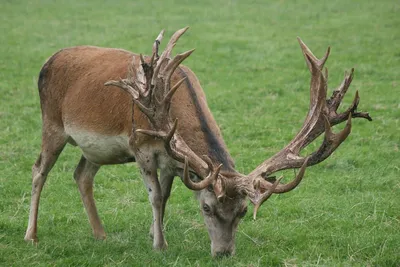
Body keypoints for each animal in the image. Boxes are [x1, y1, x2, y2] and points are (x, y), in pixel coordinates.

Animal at [23, 26, 370, 258]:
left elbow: (164, 198)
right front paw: (160, 245)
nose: (224, 253)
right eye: (206, 207)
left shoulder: (172, 160)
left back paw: (100, 235)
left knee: (81, 175)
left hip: (95, 150)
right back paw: (31, 236)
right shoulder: (140, 146)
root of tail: (48, 60)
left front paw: (154, 233)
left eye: (243, 211)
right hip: (52, 123)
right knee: (39, 170)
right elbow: (154, 197)